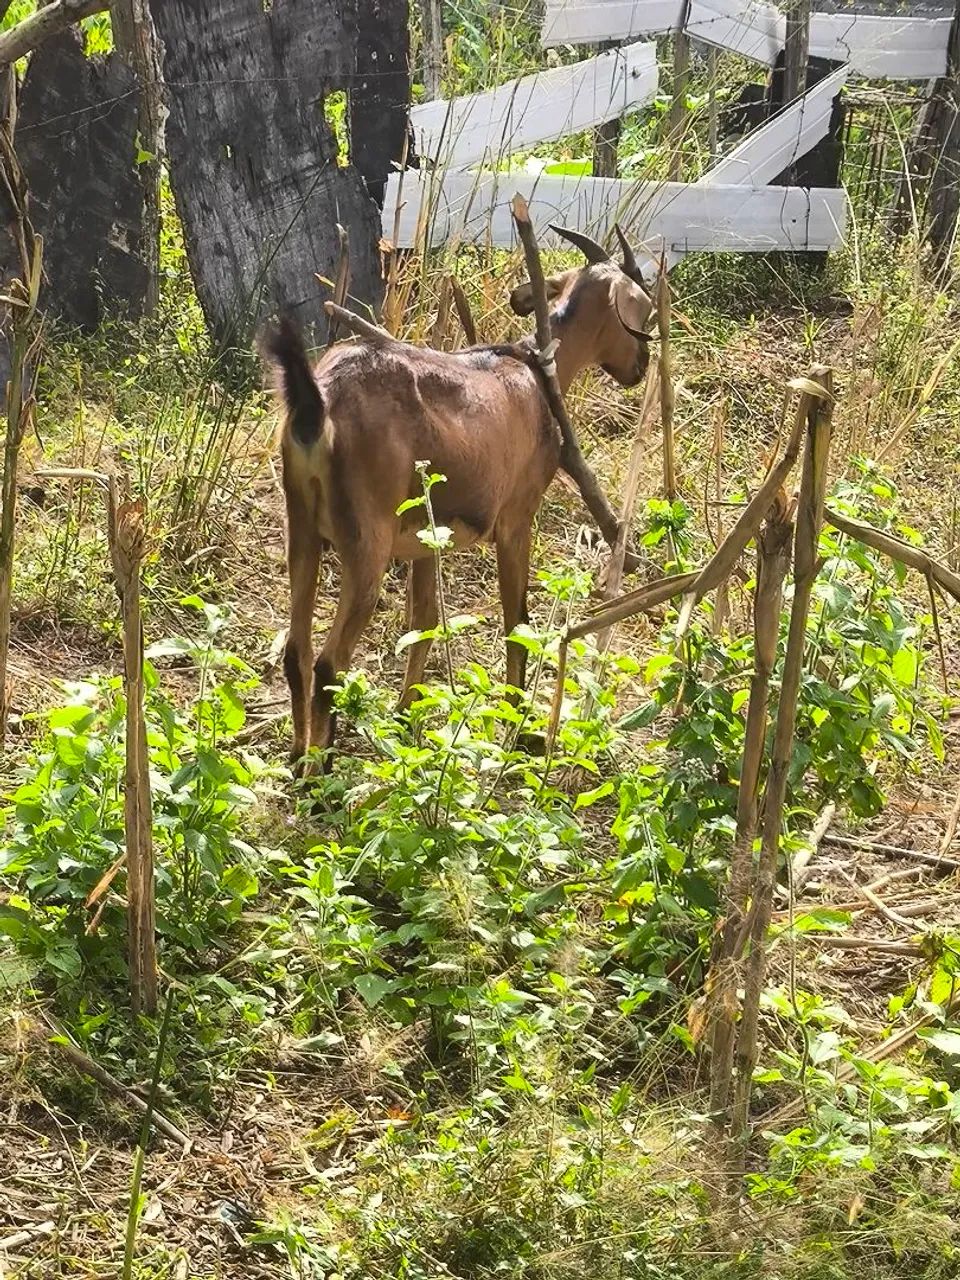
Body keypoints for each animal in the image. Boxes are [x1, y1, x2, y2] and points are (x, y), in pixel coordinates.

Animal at [264, 224, 655, 766]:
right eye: (643, 307)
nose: (641, 365)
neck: (535, 372)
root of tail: (319, 403)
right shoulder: (516, 520)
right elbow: (517, 620)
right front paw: (519, 725)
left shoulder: (424, 538)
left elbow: (424, 620)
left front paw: (407, 715)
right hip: (366, 542)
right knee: (327, 663)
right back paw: (318, 769)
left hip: (301, 529)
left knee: (295, 651)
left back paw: (299, 754)